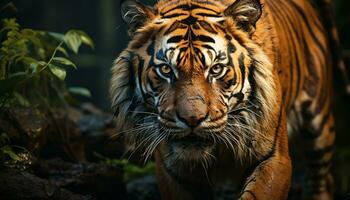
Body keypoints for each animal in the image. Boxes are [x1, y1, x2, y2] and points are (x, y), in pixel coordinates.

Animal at [110, 0, 340, 198]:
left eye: (216, 69)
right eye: (166, 69)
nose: (192, 119)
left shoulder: (275, 158)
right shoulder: (172, 171)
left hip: (319, 128)